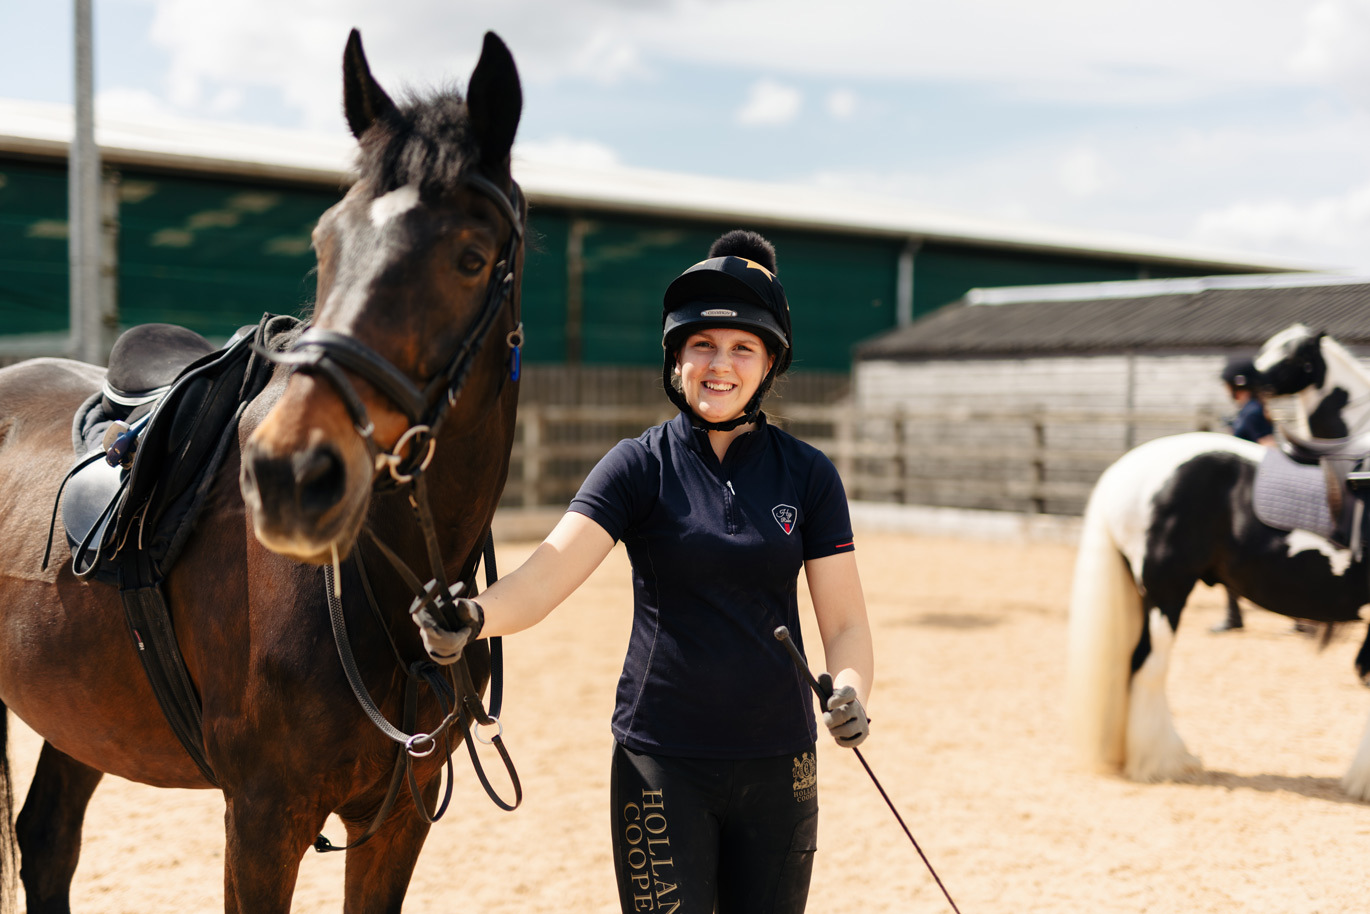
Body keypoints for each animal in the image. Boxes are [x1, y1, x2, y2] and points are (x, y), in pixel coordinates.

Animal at [0, 29, 525, 912]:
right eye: (326, 243)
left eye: (472, 255)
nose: (289, 475)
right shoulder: (261, 818)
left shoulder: (397, 821)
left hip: (79, 710)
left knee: (46, 840)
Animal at [1066, 323, 1370, 801]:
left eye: (1295, 354)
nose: (1252, 380)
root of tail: (1126, 469)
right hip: (1167, 594)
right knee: (1146, 664)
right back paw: (1162, 761)